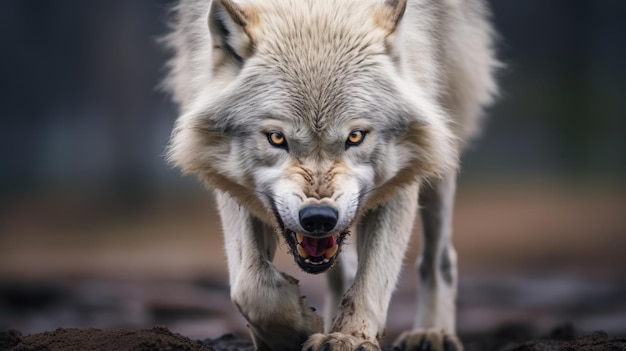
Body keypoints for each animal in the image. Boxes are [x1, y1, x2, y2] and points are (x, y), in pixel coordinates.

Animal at [161, 0, 498, 350]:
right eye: (276, 138)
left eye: (355, 136)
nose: (319, 218)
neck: (312, 8)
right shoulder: (228, 178)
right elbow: (249, 284)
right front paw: (293, 331)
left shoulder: (407, 168)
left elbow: (373, 277)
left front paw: (347, 337)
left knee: (440, 256)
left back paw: (432, 333)